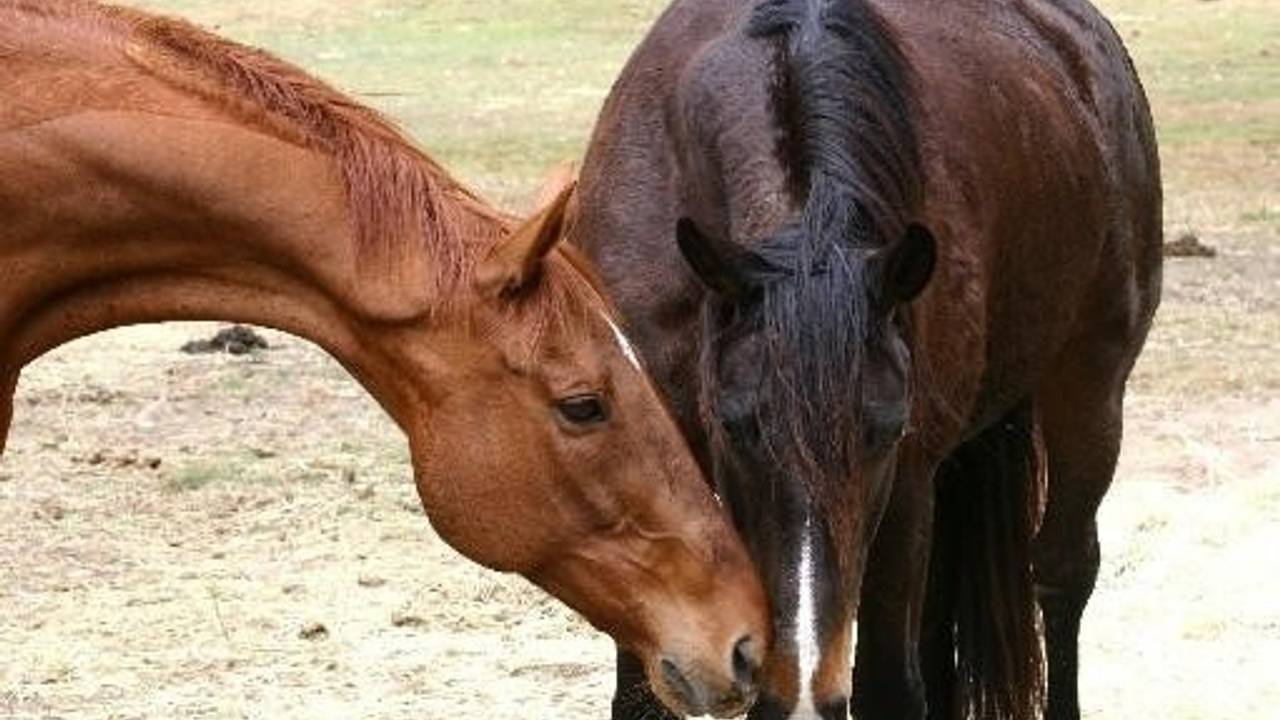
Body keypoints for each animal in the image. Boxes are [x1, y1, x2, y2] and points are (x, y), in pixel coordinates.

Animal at [570, 0, 1162, 718]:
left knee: (1061, 570)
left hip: (1088, 389)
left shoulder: (906, 475)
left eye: (884, 429)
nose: (801, 693)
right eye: (734, 426)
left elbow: (889, 683)